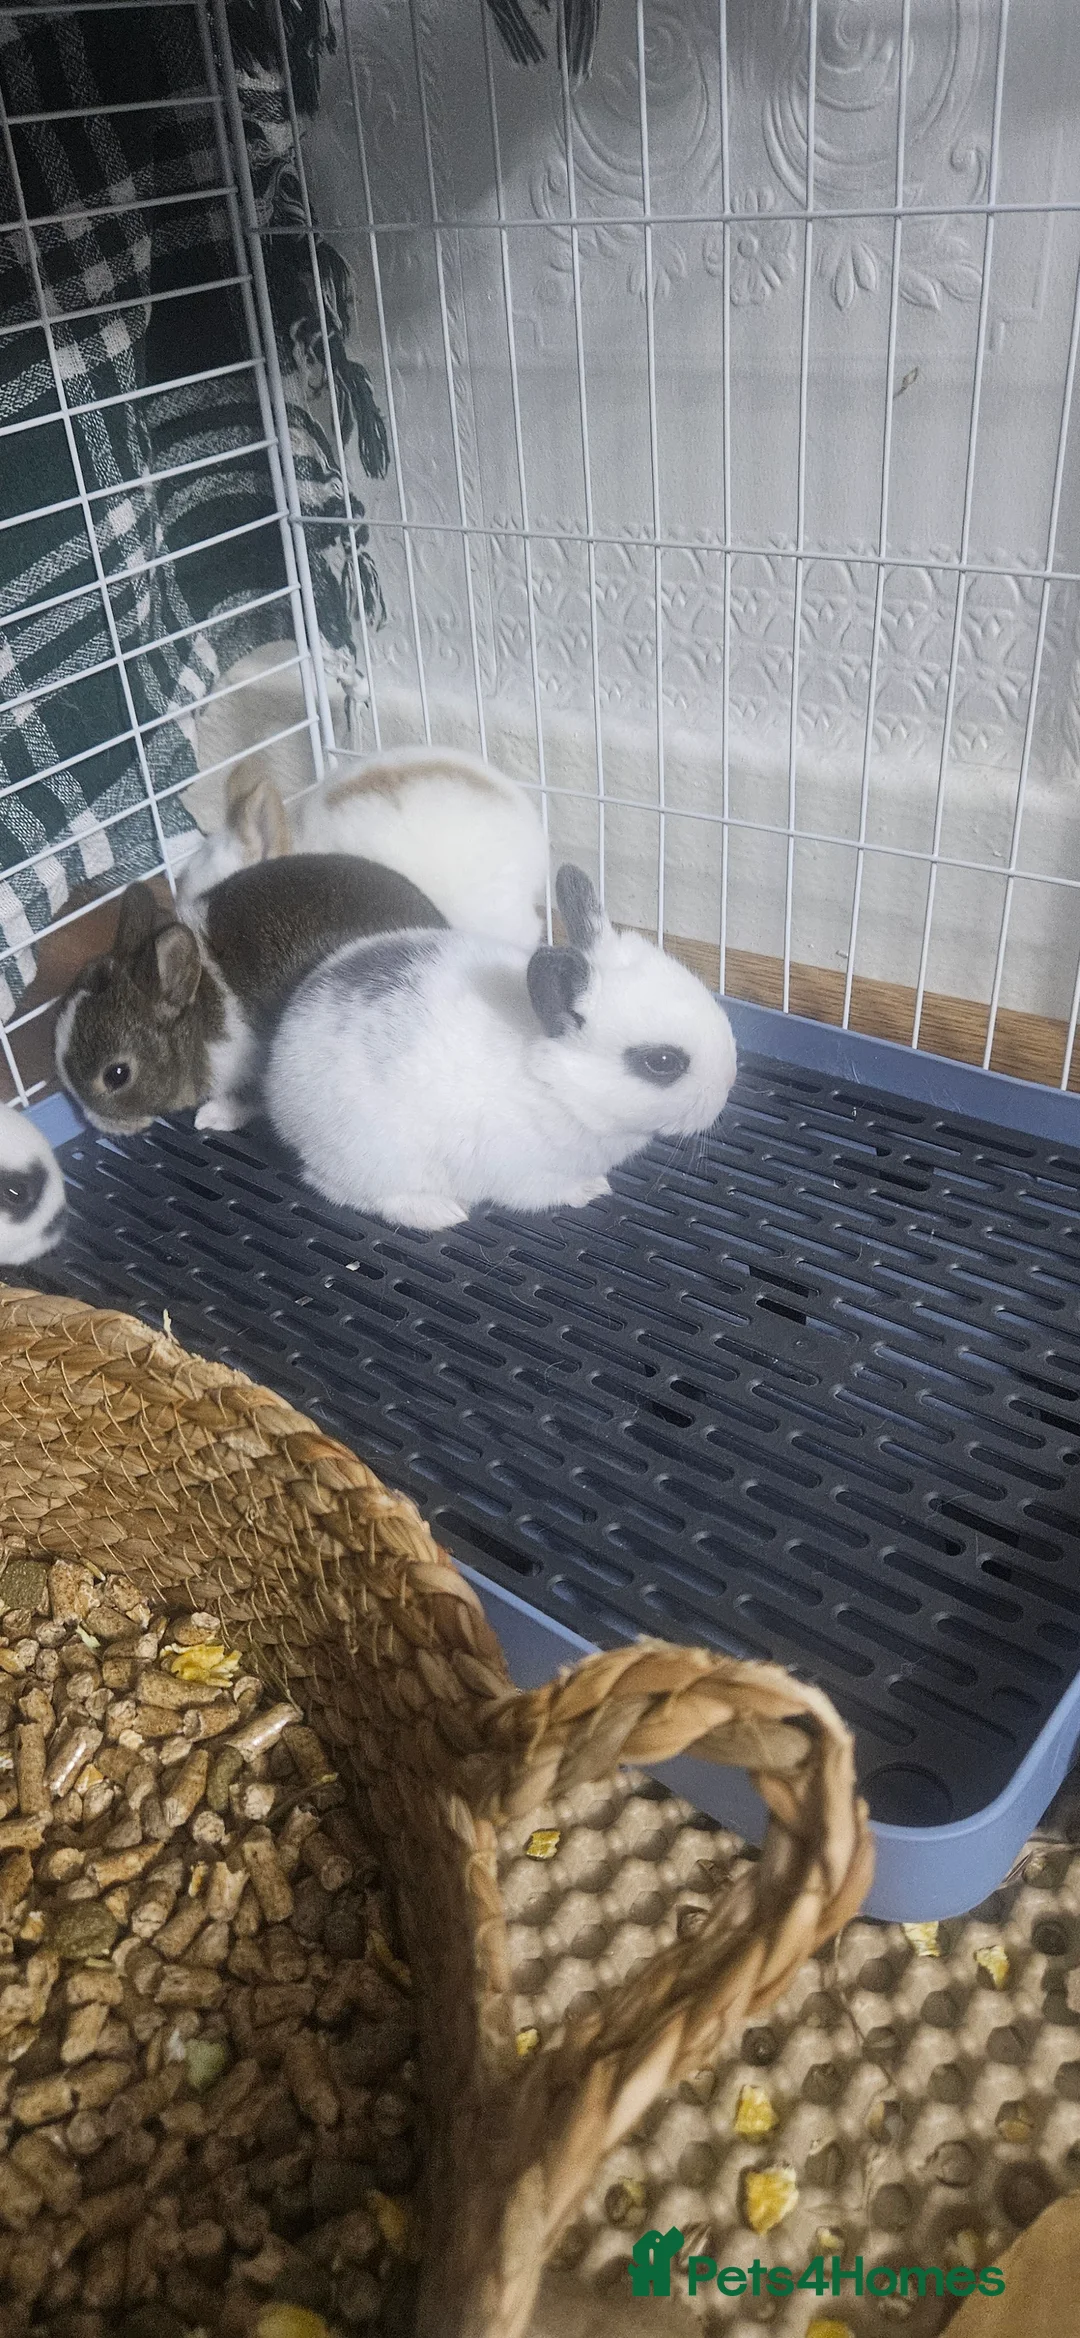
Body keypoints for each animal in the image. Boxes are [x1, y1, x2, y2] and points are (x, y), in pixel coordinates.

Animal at [264, 863, 737, 1231]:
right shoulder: (530, 1176)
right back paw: (439, 1213)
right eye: (662, 1062)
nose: (725, 1089)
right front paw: (592, 1189)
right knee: (340, 1188)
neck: (555, 1085)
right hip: (373, 1158)